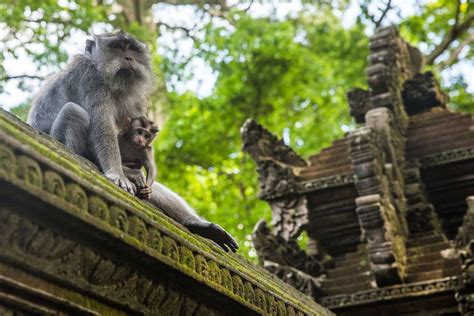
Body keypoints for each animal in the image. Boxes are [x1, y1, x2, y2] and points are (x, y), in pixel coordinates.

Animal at [27, 30, 239, 251]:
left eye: (132, 49)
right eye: (118, 46)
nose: (129, 58)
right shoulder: (89, 78)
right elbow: (102, 127)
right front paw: (118, 173)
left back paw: (198, 225)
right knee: (73, 111)